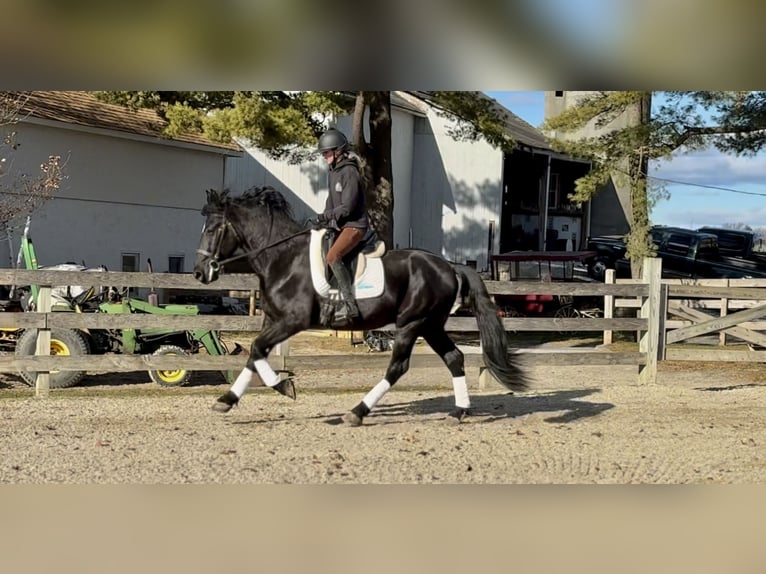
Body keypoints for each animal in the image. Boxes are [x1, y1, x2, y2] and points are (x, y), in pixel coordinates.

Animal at [193, 186, 528, 425]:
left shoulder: (292, 321)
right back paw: (459, 411)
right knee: (454, 358)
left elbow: (257, 350)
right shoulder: (272, 320)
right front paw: (227, 400)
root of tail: (448, 265)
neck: (282, 258)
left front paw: (283, 386)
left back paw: (357, 411)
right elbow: (254, 355)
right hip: (431, 325)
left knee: (398, 366)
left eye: (211, 230)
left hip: (411, 323)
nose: (199, 272)